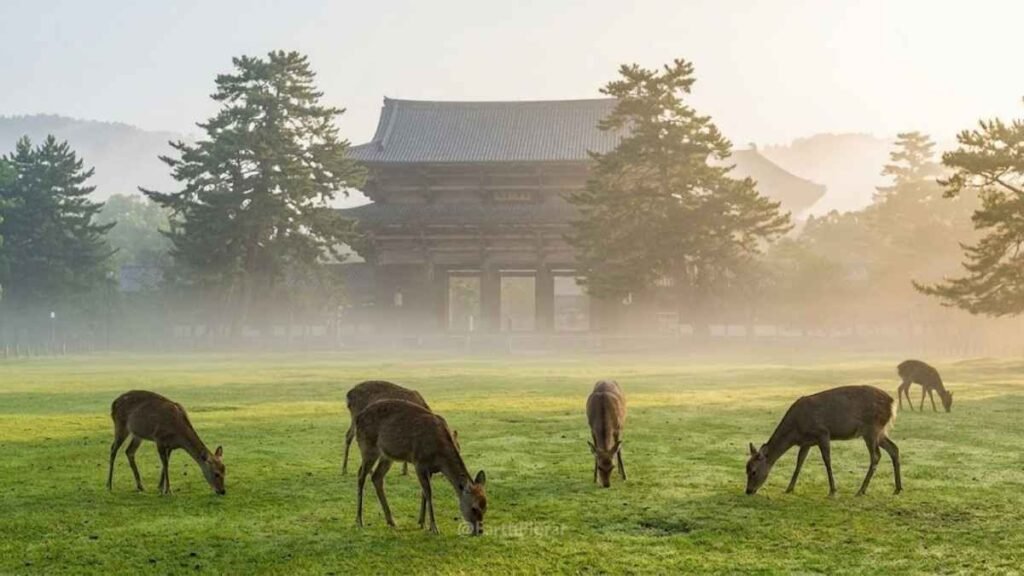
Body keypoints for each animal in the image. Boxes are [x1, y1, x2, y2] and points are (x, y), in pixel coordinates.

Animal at [354, 399, 486, 535]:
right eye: (474, 508)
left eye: (485, 506)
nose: (480, 531)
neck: (440, 456)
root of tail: (358, 418)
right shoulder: (419, 462)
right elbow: (429, 493)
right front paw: (434, 527)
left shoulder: (430, 469)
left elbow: (424, 493)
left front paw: (422, 522)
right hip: (368, 447)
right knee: (361, 476)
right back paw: (359, 520)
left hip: (387, 456)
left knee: (376, 477)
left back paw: (391, 521)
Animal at [745, 385, 901, 497]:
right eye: (746, 469)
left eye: (753, 471)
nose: (748, 491)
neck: (796, 431)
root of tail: (892, 403)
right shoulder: (806, 442)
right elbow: (799, 463)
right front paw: (789, 488)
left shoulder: (822, 432)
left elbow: (827, 461)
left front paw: (833, 491)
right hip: (879, 432)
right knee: (894, 448)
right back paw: (898, 488)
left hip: (871, 429)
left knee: (876, 456)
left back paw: (861, 490)